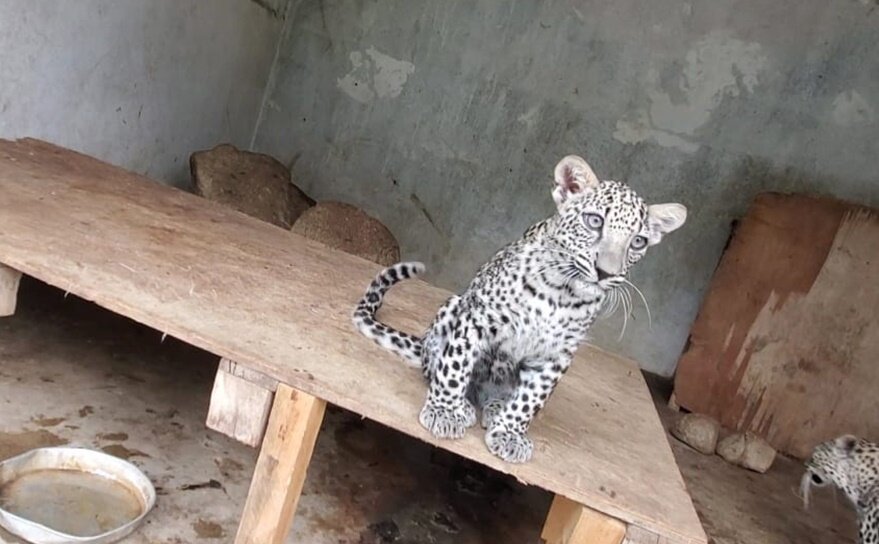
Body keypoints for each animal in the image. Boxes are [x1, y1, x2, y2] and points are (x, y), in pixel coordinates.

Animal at [352, 154, 687, 463]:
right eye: (594, 221)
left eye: (638, 242)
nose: (606, 272)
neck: (562, 295)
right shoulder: (477, 319)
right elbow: (455, 367)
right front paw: (444, 411)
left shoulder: (557, 354)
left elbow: (530, 399)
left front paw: (510, 433)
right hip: (452, 307)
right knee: (437, 368)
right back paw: (462, 405)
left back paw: (495, 409)